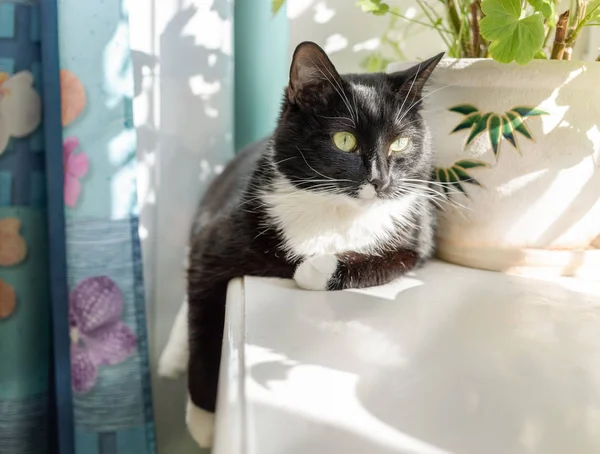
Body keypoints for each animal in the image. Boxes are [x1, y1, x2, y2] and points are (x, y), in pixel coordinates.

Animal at [159, 41, 446, 446]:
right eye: (345, 140)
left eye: (401, 143)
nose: (381, 180)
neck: (339, 212)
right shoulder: (215, 238)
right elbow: (204, 317)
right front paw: (204, 418)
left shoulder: (418, 236)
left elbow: (392, 261)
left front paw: (316, 268)